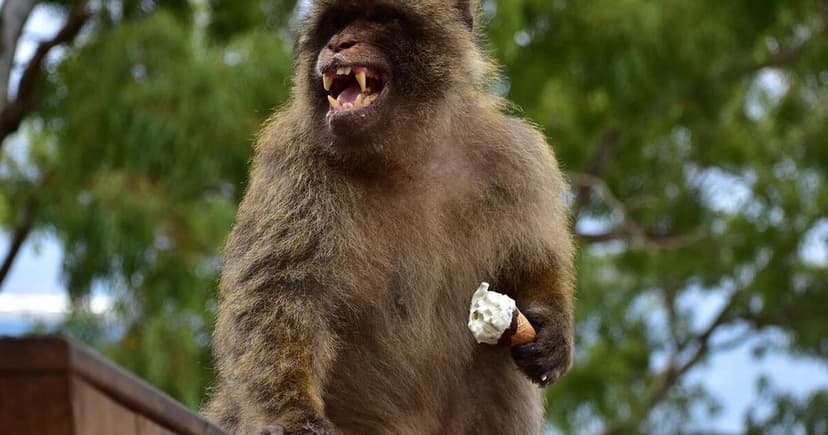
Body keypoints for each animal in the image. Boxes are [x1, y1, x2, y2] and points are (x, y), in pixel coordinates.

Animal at [202, 1, 575, 434]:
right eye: (337, 23)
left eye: (379, 18)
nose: (338, 43)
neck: (407, 153)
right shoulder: (295, 161)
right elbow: (279, 292)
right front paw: (294, 412)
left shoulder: (514, 158)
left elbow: (530, 261)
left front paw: (551, 327)